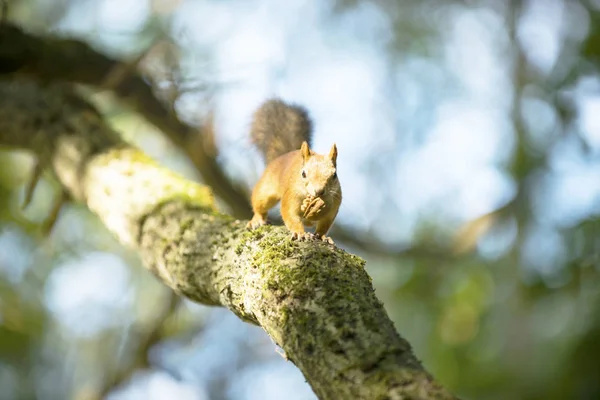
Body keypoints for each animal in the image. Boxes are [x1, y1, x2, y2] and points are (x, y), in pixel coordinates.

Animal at [247, 99, 342, 244]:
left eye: (334, 175)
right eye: (303, 174)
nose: (319, 191)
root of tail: (284, 155)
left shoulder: (335, 201)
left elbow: (325, 223)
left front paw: (322, 236)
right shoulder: (292, 196)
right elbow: (290, 215)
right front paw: (299, 233)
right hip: (266, 190)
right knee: (259, 204)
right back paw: (257, 219)